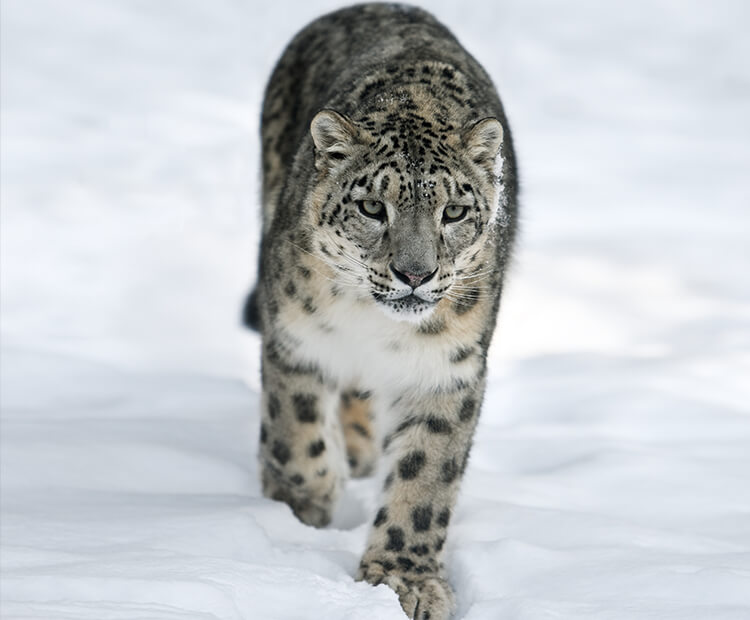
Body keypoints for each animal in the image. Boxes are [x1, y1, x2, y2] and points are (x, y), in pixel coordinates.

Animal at [244, 3, 520, 616]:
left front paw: (403, 580)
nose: (414, 274)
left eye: (454, 211)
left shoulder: (447, 369)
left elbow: (425, 478)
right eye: (373, 207)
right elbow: (295, 432)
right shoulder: (295, 336)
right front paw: (301, 511)